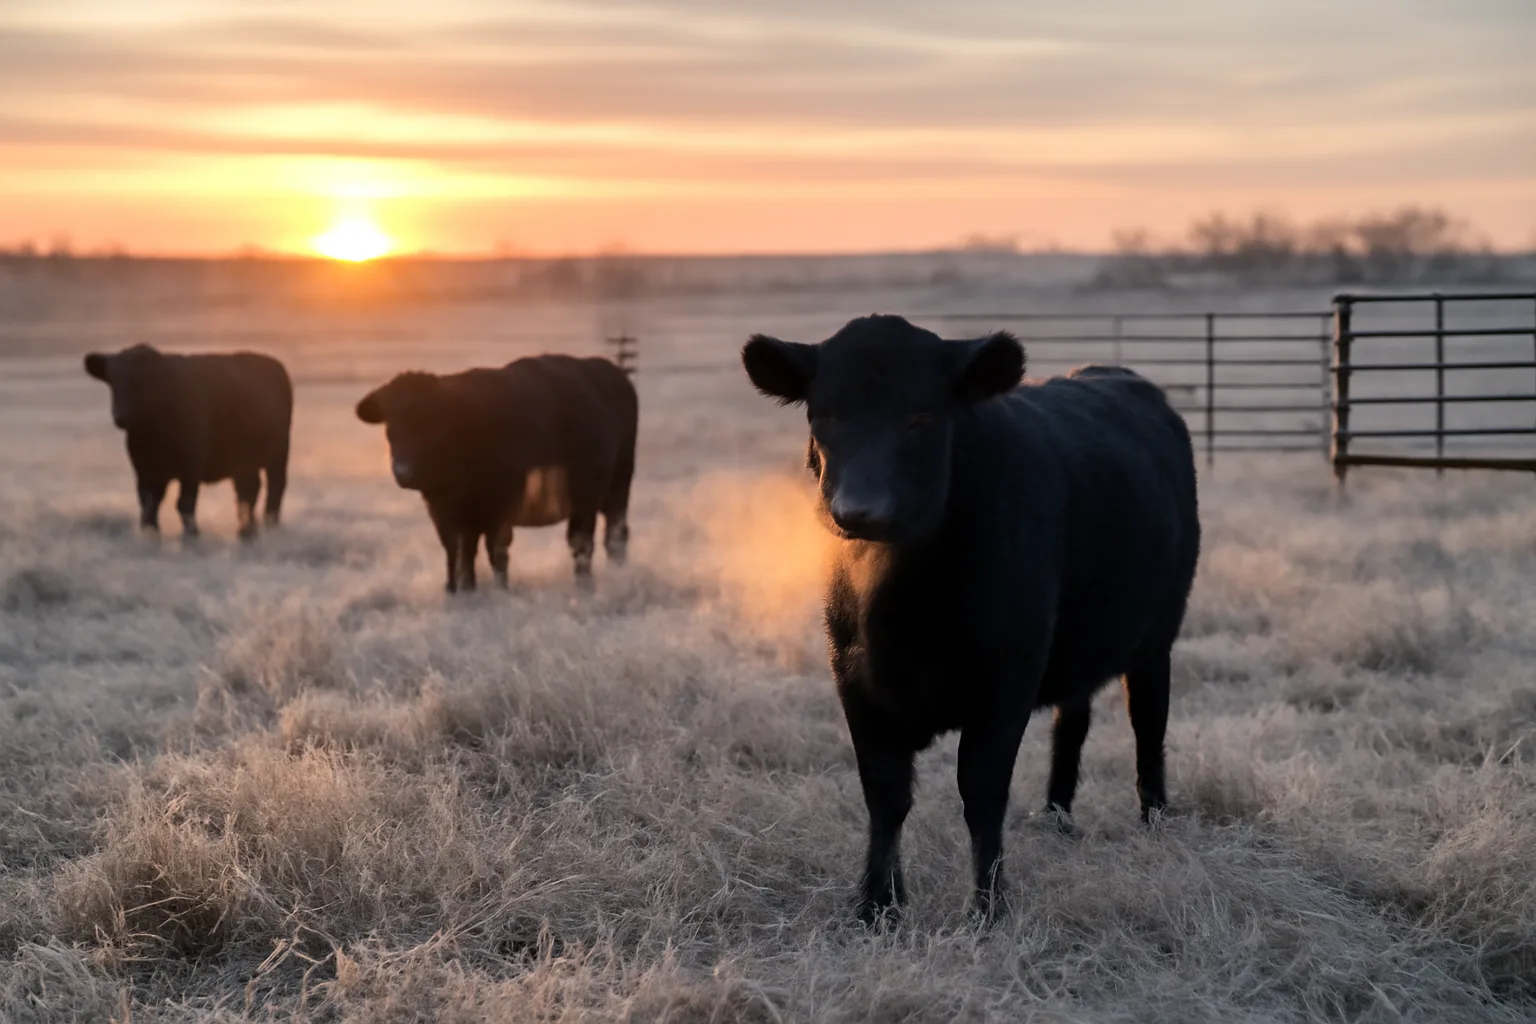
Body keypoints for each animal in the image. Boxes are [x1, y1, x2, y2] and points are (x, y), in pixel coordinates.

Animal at [83, 344, 293, 540]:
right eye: (112, 381)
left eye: (142, 381)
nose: (120, 417)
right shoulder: (145, 469)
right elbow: (149, 503)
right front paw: (150, 533)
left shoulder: (191, 466)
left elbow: (184, 503)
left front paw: (191, 535)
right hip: (244, 461)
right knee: (248, 489)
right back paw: (248, 529)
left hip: (278, 455)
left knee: (275, 488)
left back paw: (269, 525)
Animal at [355, 354, 638, 594]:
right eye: (390, 423)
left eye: (430, 421)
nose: (403, 471)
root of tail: (610, 371)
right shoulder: (445, 512)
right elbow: (457, 551)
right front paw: (458, 590)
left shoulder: (499, 508)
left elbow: (496, 552)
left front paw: (500, 591)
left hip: (611, 489)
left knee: (600, 538)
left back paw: (596, 582)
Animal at [741, 314, 1200, 925]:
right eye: (825, 416)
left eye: (922, 417)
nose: (859, 510)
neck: (905, 607)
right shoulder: (854, 680)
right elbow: (885, 795)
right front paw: (877, 907)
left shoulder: (1005, 684)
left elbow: (981, 793)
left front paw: (988, 908)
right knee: (1072, 721)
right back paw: (1055, 818)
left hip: (1156, 639)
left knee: (1148, 725)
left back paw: (1154, 821)